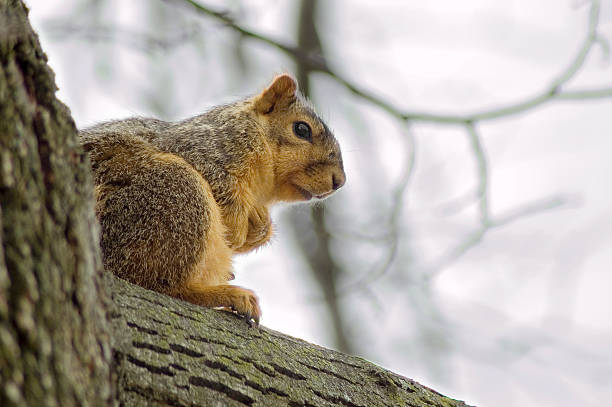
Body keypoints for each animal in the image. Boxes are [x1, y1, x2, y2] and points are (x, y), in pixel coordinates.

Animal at [81, 75, 346, 326]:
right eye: (301, 129)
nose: (339, 181)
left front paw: (261, 227)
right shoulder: (205, 152)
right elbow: (224, 199)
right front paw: (238, 232)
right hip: (173, 194)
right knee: (157, 283)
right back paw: (225, 294)